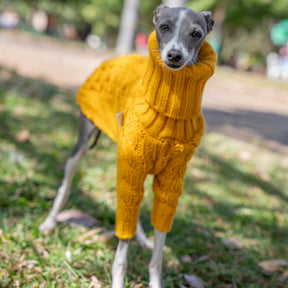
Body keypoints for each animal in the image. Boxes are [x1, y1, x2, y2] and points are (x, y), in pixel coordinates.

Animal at [38, 5, 216, 288]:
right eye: (164, 27)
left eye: (196, 33)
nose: (174, 56)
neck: (170, 110)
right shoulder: (132, 167)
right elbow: (122, 248)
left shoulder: (170, 182)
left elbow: (158, 248)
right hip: (84, 146)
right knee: (66, 187)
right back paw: (49, 223)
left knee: (134, 203)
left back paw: (141, 238)